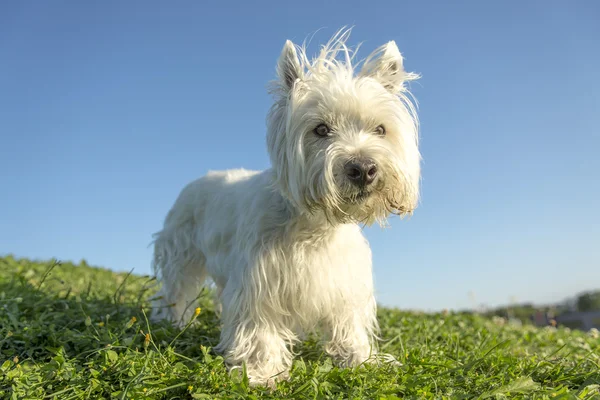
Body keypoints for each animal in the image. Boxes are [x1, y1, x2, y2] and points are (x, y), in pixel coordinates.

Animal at [152, 29, 420, 386]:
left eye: (380, 129)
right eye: (320, 129)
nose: (363, 169)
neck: (315, 226)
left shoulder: (343, 283)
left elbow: (348, 323)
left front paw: (362, 360)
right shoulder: (258, 283)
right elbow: (259, 329)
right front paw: (262, 373)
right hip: (181, 252)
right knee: (176, 289)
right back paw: (173, 323)